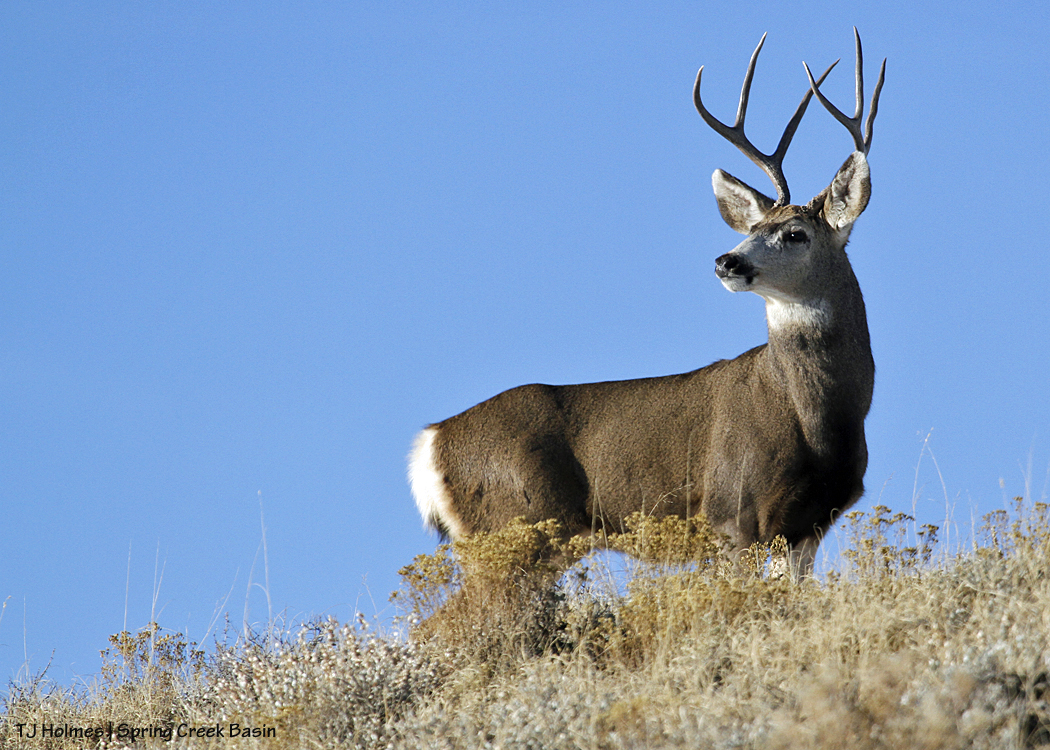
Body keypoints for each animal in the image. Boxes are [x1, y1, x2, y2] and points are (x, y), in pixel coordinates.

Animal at [409, 30, 885, 576]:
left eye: (795, 233)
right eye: (751, 229)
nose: (726, 261)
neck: (821, 422)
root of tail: (430, 442)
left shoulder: (809, 525)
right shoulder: (731, 513)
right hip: (511, 529)